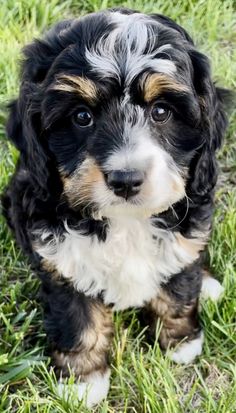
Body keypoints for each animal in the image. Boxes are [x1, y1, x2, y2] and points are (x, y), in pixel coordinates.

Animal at [2, 8, 230, 408]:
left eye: (161, 111)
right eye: (81, 117)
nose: (125, 178)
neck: (126, 220)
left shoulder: (188, 224)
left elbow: (177, 288)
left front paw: (181, 343)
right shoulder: (60, 257)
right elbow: (78, 318)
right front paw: (83, 381)